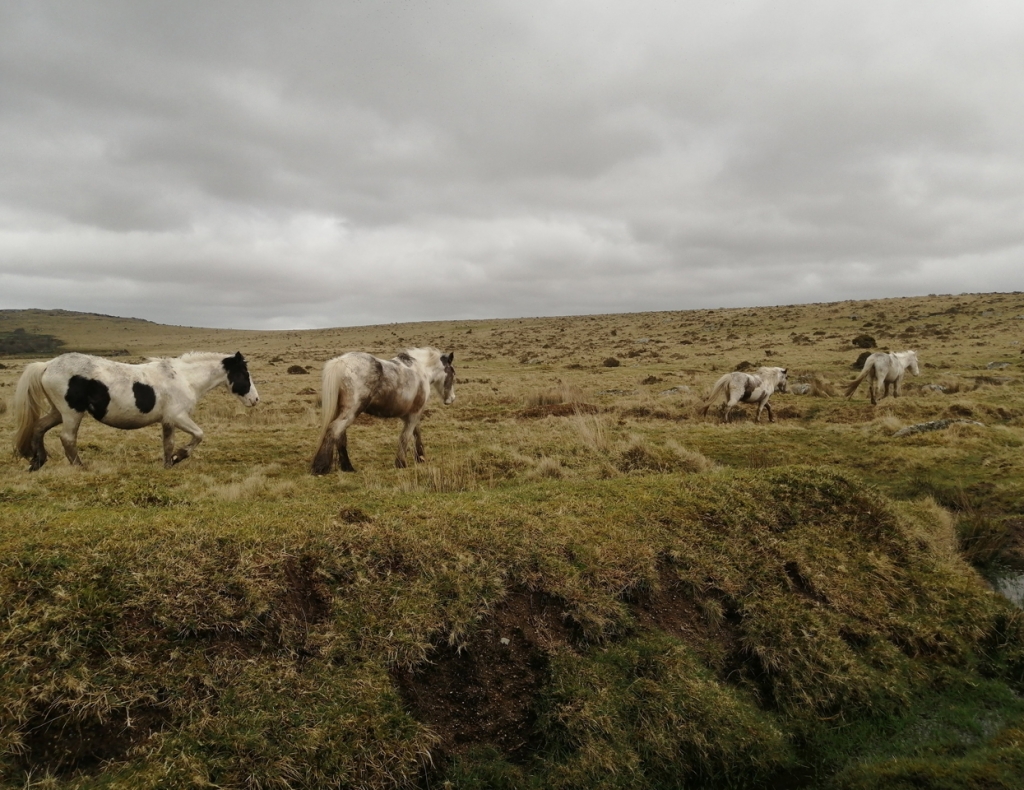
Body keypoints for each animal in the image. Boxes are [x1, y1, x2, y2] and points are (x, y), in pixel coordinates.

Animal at [311, 348, 456, 475]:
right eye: (452, 373)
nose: (452, 398)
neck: (421, 370)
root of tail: (340, 361)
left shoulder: (408, 415)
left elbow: (416, 433)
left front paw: (420, 457)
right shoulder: (415, 413)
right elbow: (406, 436)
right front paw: (401, 463)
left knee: (340, 436)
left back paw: (347, 467)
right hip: (351, 412)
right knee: (333, 430)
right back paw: (321, 466)